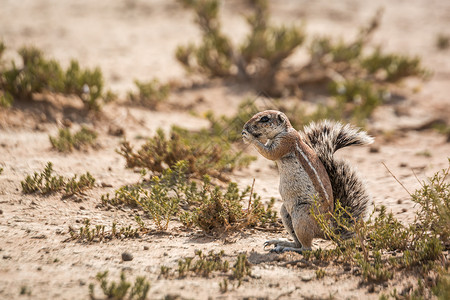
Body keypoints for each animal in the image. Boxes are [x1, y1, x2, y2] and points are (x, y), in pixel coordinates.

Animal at [243, 110, 372, 253]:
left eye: (264, 119)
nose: (246, 126)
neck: (285, 130)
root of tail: (326, 230)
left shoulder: (286, 142)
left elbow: (270, 153)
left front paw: (248, 136)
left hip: (302, 214)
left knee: (307, 248)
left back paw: (288, 248)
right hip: (286, 212)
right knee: (298, 242)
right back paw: (281, 242)